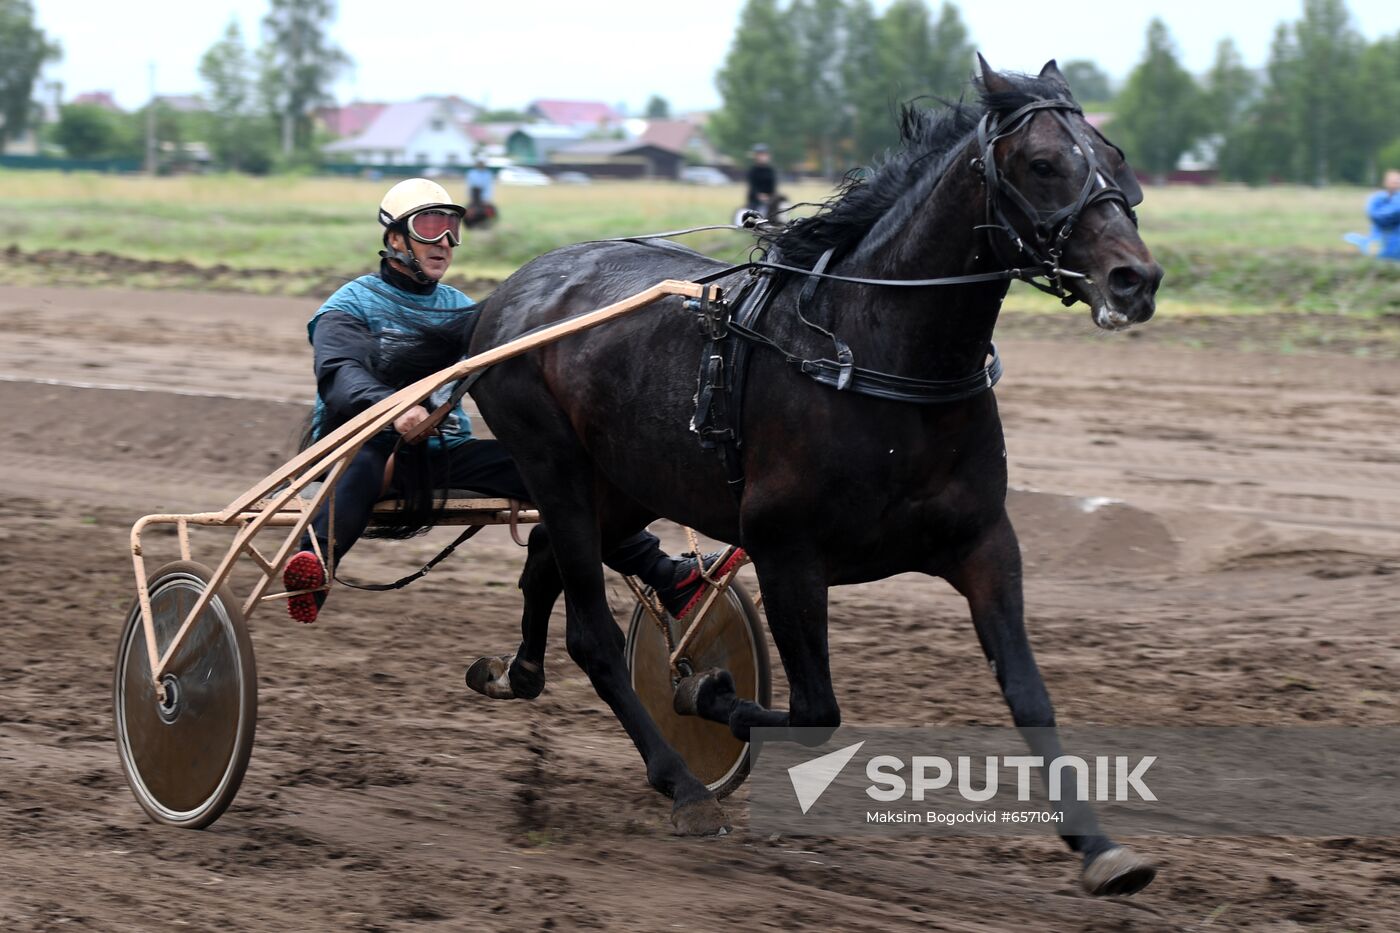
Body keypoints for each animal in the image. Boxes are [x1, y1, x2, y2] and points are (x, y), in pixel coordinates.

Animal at [392, 59, 1159, 896]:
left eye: (1115, 158)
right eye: (1043, 164)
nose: (1136, 279)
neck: (872, 353)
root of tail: (499, 299)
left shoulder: (984, 542)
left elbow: (1028, 692)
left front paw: (1098, 845)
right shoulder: (787, 549)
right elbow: (814, 709)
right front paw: (707, 688)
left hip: (626, 479)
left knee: (542, 564)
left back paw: (516, 672)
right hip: (553, 461)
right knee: (592, 633)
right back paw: (682, 784)